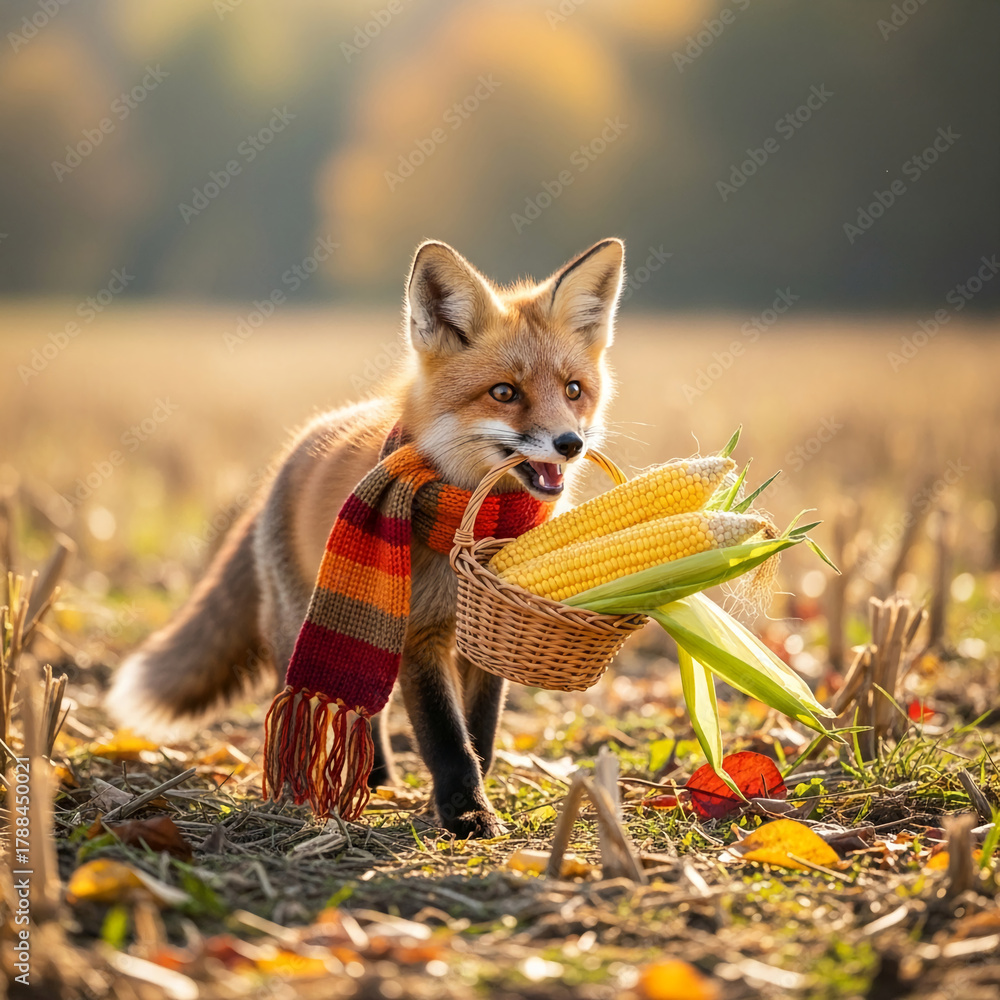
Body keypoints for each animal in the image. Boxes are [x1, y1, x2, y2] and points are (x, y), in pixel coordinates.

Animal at [108, 237, 626, 838]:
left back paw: (374, 778)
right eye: (504, 392)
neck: (473, 520)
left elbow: (482, 730)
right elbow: (446, 737)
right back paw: (347, 780)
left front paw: (468, 796)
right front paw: (466, 812)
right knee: (329, 697)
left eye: (574, 390)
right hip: (318, 617)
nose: (569, 443)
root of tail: (294, 448)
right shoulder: (420, 635)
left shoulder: (489, 630)